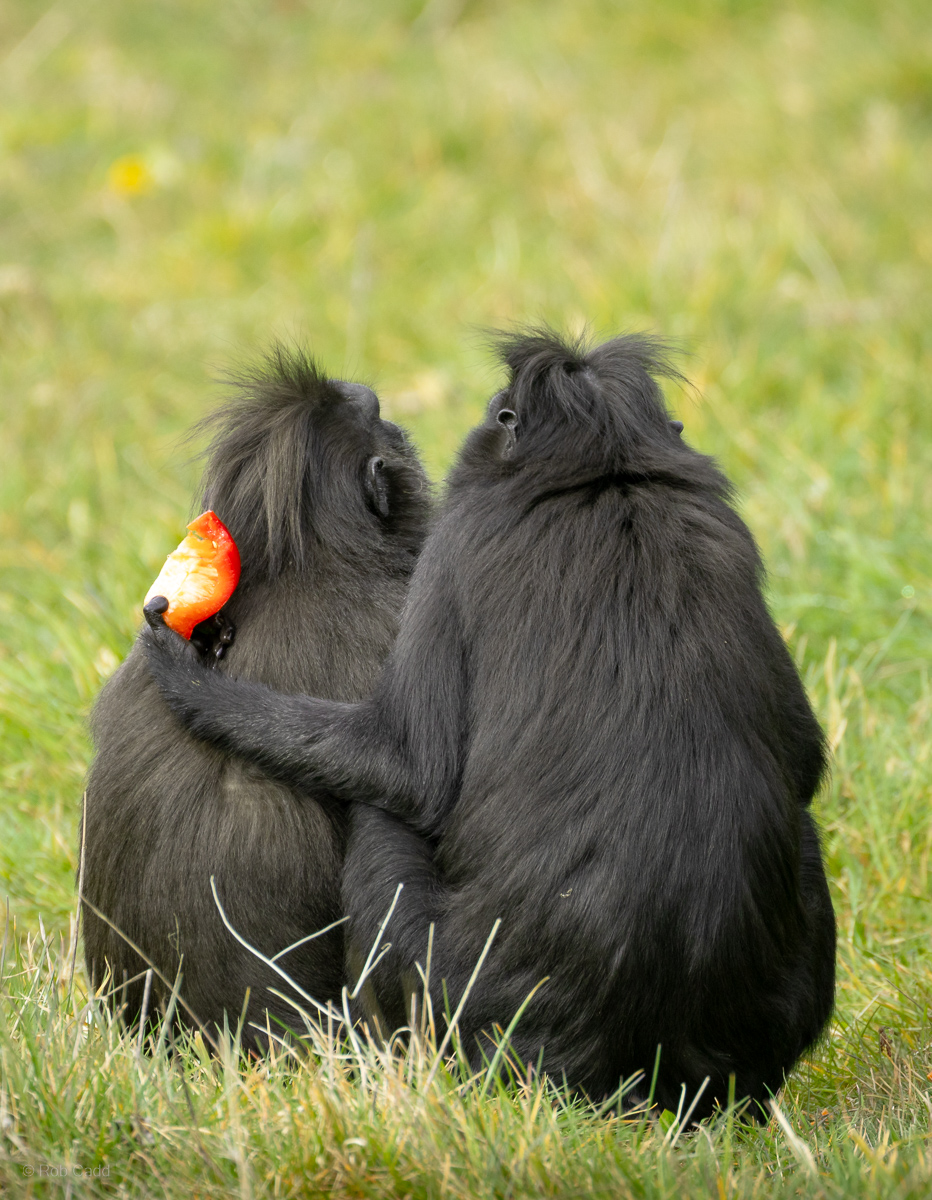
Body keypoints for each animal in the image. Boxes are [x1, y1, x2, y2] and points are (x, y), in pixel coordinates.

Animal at [140, 329, 835, 1118]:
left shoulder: (457, 543)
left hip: (451, 998)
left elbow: (408, 766)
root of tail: (620, 1078)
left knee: (383, 818)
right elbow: (804, 756)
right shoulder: (723, 531)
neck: (607, 474)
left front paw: (189, 681)